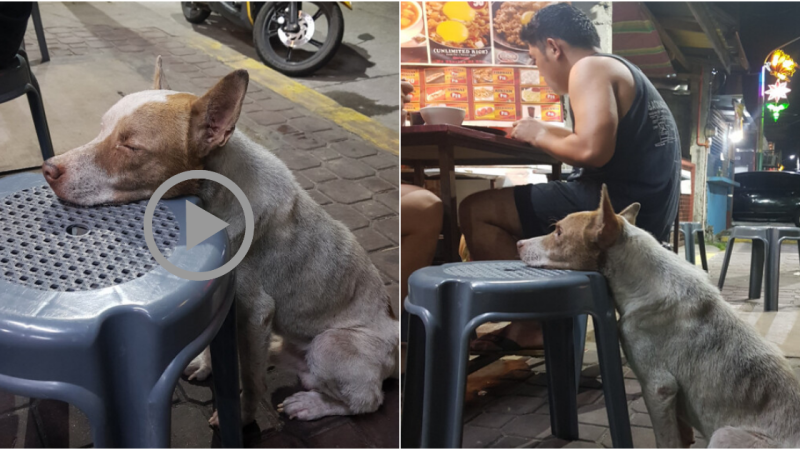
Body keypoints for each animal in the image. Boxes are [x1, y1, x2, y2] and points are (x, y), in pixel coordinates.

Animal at [42, 56, 398, 426]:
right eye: (101, 129)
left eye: (131, 146)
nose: (48, 169)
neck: (214, 196)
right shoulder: (222, 301)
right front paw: (206, 364)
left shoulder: (256, 313)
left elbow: (251, 380)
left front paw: (242, 417)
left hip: (332, 344)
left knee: (366, 401)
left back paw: (310, 404)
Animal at [516, 185, 800, 448]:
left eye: (558, 231)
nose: (518, 243)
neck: (643, 284)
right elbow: (681, 435)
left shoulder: (658, 388)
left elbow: (665, 439)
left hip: (724, 434)